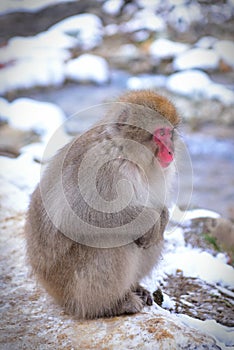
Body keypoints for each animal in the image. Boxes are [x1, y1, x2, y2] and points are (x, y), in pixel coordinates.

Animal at [25, 89, 181, 318]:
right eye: (160, 133)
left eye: (170, 133)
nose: (171, 152)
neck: (125, 151)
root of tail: (53, 290)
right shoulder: (101, 166)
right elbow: (74, 217)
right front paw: (153, 219)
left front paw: (163, 215)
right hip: (71, 285)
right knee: (113, 238)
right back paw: (108, 305)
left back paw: (134, 288)